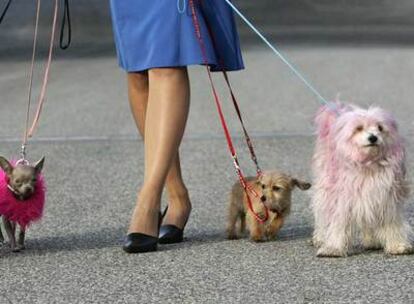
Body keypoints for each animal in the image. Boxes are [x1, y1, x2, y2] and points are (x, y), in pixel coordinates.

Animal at [312, 103, 412, 258]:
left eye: (380, 127)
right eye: (359, 128)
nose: (373, 137)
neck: (368, 164)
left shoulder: (386, 199)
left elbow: (391, 222)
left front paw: (397, 245)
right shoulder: (343, 200)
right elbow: (339, 223)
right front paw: (334, 248)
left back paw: (372, 241)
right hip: (325, 190)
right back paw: (320, 237)